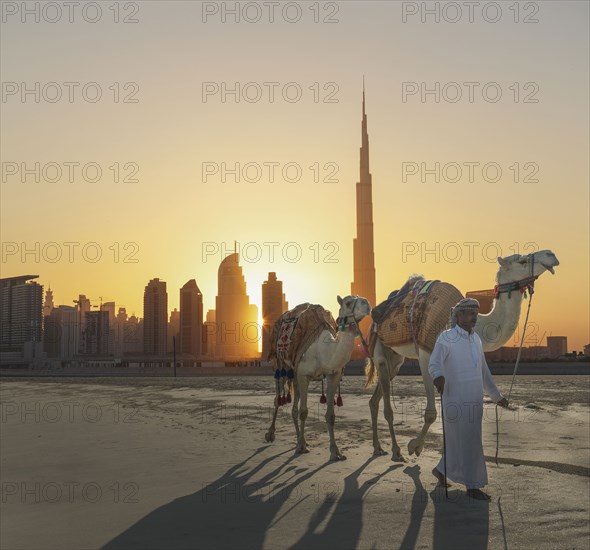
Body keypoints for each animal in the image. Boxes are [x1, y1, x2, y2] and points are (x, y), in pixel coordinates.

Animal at [268, 296, 372, 464]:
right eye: (348, 302)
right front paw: (301, 447)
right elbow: (304, 412)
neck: (325, 352)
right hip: (280, 365)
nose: (367, 303)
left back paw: (301, 440)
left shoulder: (332, 375)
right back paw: (271, 435)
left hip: (294, 373)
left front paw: (335, 452)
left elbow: (330, 415)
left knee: (294, 406)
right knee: (278, 399)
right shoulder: (304, 375)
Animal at [366, 252, 560, 464]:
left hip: (395, 360)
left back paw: (378, 447)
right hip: (380, 351)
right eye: (522, 261)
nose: (551, 255)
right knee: (387, 406)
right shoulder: (426, 354)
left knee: (374, 400)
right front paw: (415, 446)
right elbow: (431, 414)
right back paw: (395, 450)